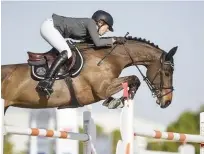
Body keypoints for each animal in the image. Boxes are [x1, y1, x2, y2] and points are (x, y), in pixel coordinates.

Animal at [1, 35, 177, 113]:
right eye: (168, 72)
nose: (168, 102)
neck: (109, 57)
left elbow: (133, 81)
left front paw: (118, 100)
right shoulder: (102, 89)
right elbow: (134, 78)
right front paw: (119, 100)